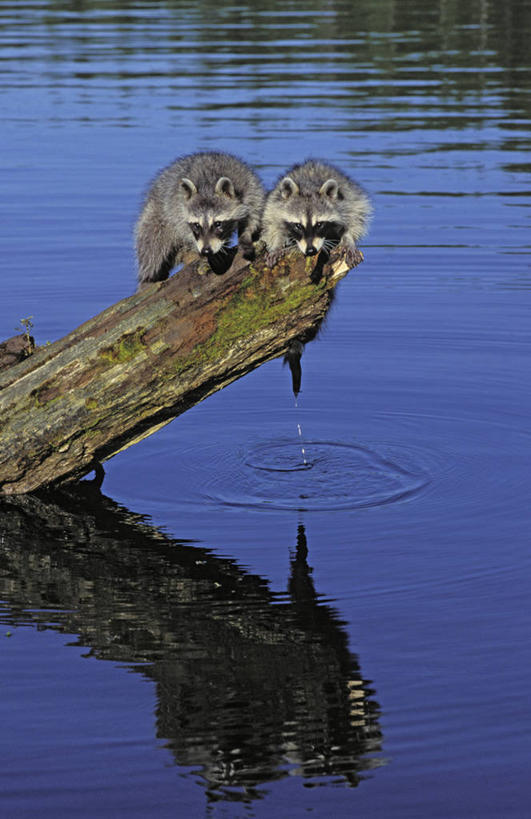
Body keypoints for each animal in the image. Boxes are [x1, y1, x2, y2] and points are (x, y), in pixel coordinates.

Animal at [134, 152, 264, 284]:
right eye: (196, 225)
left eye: (218, 223)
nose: (206, 251)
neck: (208, 186)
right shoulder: (176, 205)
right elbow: (182, 228)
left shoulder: (249, 187)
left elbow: (255, 213)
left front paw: (246, 234)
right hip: (154, 214)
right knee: (152, 246)